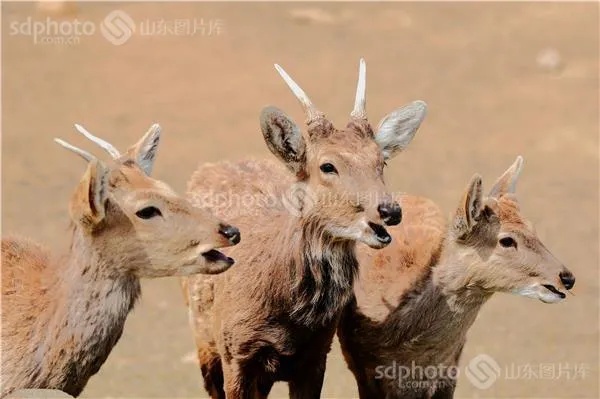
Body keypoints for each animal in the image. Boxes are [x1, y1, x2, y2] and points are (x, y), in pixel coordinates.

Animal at [180, 60, 428, 399]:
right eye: (327, 166)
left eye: (381, 162)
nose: (390, 211)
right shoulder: (234, 350)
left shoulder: (316, 354)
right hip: (203, 336)